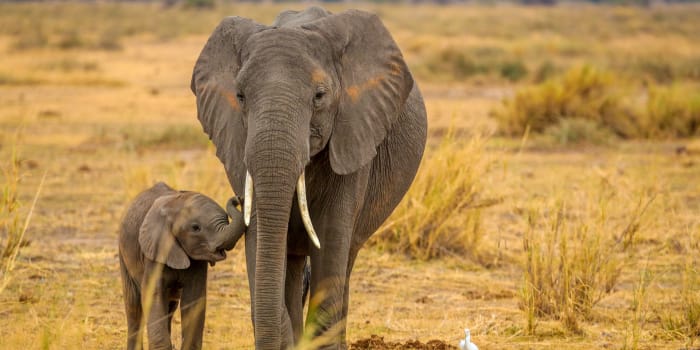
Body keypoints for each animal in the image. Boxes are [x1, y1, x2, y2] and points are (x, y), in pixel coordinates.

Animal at [117, 182, 243, 348]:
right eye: (195, 228)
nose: (238, 198)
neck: (175, 204)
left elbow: (193, 299)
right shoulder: (154, 252)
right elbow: (153, 295)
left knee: (169, 307)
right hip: (123, 253)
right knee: (134, 307)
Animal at [190, 6, 426, 350]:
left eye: (319, 95)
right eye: (240, 96)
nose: (235, 201)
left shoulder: (352, 135)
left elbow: (329, 238)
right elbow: (260, 236)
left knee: (344, 259)